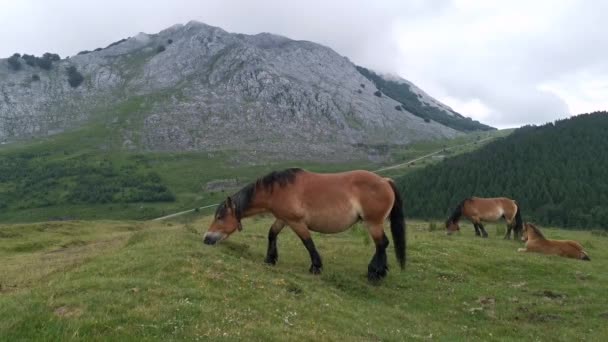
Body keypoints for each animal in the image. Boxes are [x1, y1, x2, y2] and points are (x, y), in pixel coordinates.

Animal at [202, 167, 406, 282]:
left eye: (220, 217)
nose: (206, 238)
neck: (277, 189)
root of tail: (385, 181)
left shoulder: (296, 222)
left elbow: (307, 242)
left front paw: (316, 267)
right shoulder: (283, 219)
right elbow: (271, 233)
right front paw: (270, 259)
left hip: (373, 223)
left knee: (381, 244)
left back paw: (375, 273)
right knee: (382, 244)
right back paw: (381, 272)